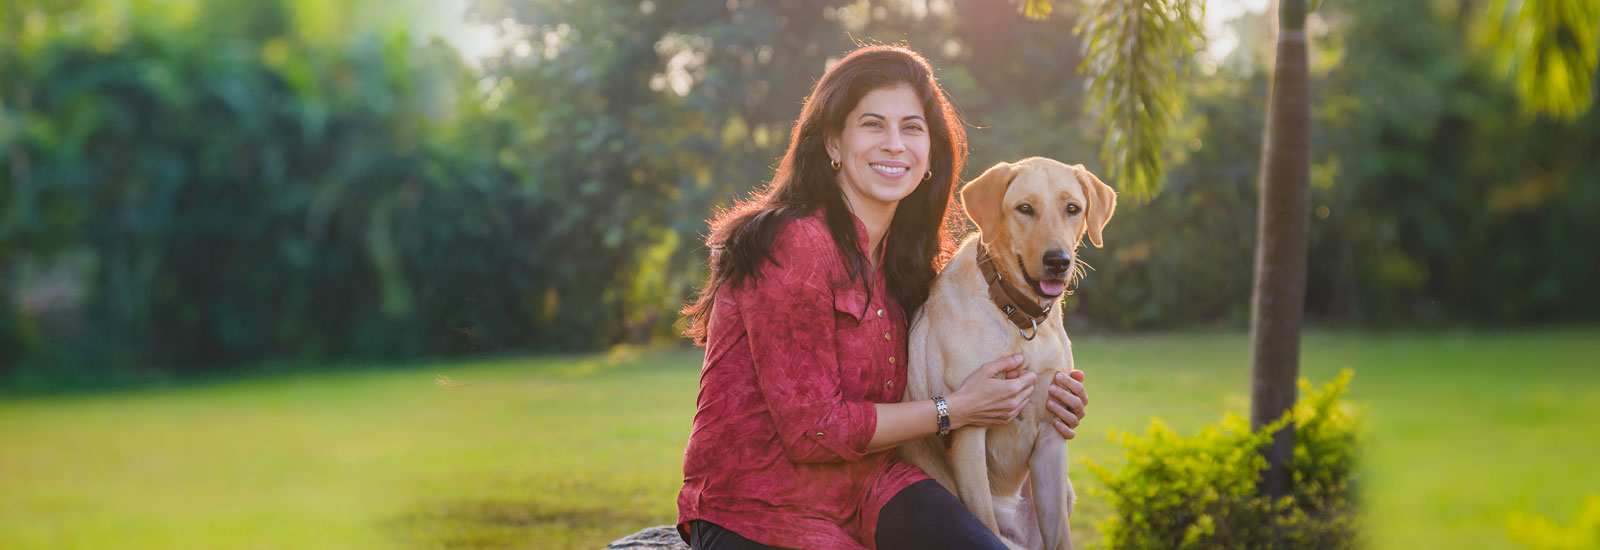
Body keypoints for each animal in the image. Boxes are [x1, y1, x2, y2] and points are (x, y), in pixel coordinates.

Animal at [902, 155, 1113, 550]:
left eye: (1072, 208)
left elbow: (1060, 535)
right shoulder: (968, 434)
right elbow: (983, 518)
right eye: (1025, 209)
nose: (1058, 261)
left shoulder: (1051, 436)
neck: (1019, 318)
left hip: (1066, 491)